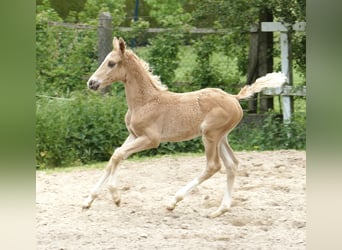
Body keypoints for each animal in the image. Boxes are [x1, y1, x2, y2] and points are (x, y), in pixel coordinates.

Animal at [83, 36, 286, 218]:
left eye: (111, 63)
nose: (91, 83)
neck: (145, 101)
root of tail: (234, 98)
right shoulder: (133, 135)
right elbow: (114, 157)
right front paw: (88, 201)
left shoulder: (151, 139)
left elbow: (118, 155)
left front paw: (116, 197)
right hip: (221, 137)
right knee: (232, 164)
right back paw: (220, 210)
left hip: (210, 135)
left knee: (213, 166)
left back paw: (173, 202)